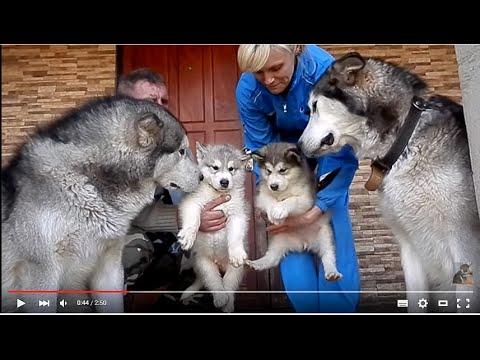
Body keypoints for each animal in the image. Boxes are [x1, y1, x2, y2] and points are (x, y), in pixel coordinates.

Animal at [177, 143, 251, 312]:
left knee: (229, 285)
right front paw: (188, 236)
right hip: (203, 263)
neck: (217, 195)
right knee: (212, 282)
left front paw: (236, 252)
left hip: (235, 270)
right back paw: (219, 298)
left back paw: (227, 304)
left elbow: (236, 234)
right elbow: (194, 220)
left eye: (231, 169)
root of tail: (219, 264)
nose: (224, 182)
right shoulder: (192, 203)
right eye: (215, 167)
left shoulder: (238, 213)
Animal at [244, 141, 342, 282]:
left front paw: (279, 210)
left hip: (325, 235)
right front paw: (273, 213)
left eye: (283, 170)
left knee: (328, 255)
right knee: (272, 258)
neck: (284, 190)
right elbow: (269, 200)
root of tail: (303, 243)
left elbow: (292, 200)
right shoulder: (262, 195)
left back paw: (332, 272)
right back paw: (255, 264)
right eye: (268, 171)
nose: (273, 186)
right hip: (279, 241)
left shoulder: (306, 199)